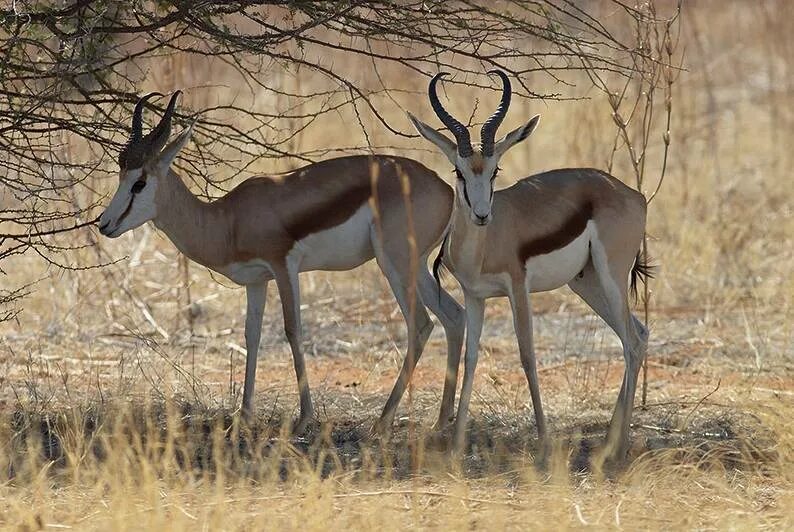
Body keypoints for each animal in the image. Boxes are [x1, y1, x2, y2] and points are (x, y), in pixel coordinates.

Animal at [96, 90, 464, 432]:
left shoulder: (284, 266)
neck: (228, 220)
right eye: (121, 177)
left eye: (140, 182)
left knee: (421, 324)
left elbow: (292, 330)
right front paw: (244, 413)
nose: (104, 224)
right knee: (453, 316)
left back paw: (383, 420)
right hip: (416, 267)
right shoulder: (257, 280)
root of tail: (447, 191)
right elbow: (251, 335)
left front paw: (304, 418)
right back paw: (442, 419)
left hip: (395, 265)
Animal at [408, 71, 648, 466]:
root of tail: (632, 194)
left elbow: (527, 356)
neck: (486, 245)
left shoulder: (518, 288)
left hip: (611, 278)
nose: (482, 215)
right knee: (639, 336)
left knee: (630, 343)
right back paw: (609, 443)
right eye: (458, 171)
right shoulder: (475, 297)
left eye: (495, 171)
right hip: (587, 284)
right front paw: (456, 444)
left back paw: (620, 450)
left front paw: (545, 443)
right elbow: (471, 357)